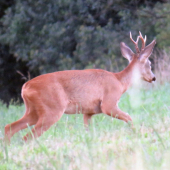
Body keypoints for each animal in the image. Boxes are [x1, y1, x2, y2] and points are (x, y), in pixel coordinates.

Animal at [3, 31, 155, 143]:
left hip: (33, 110)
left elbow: (87, 129)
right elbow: (129, 117)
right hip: (52, 109)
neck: (120, 81)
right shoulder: (108, 103)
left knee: (9, 127)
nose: (153, 77)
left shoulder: (88, 111)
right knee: (27, 137)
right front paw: (136, 134)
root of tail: (25, 87)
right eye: (149, 63)